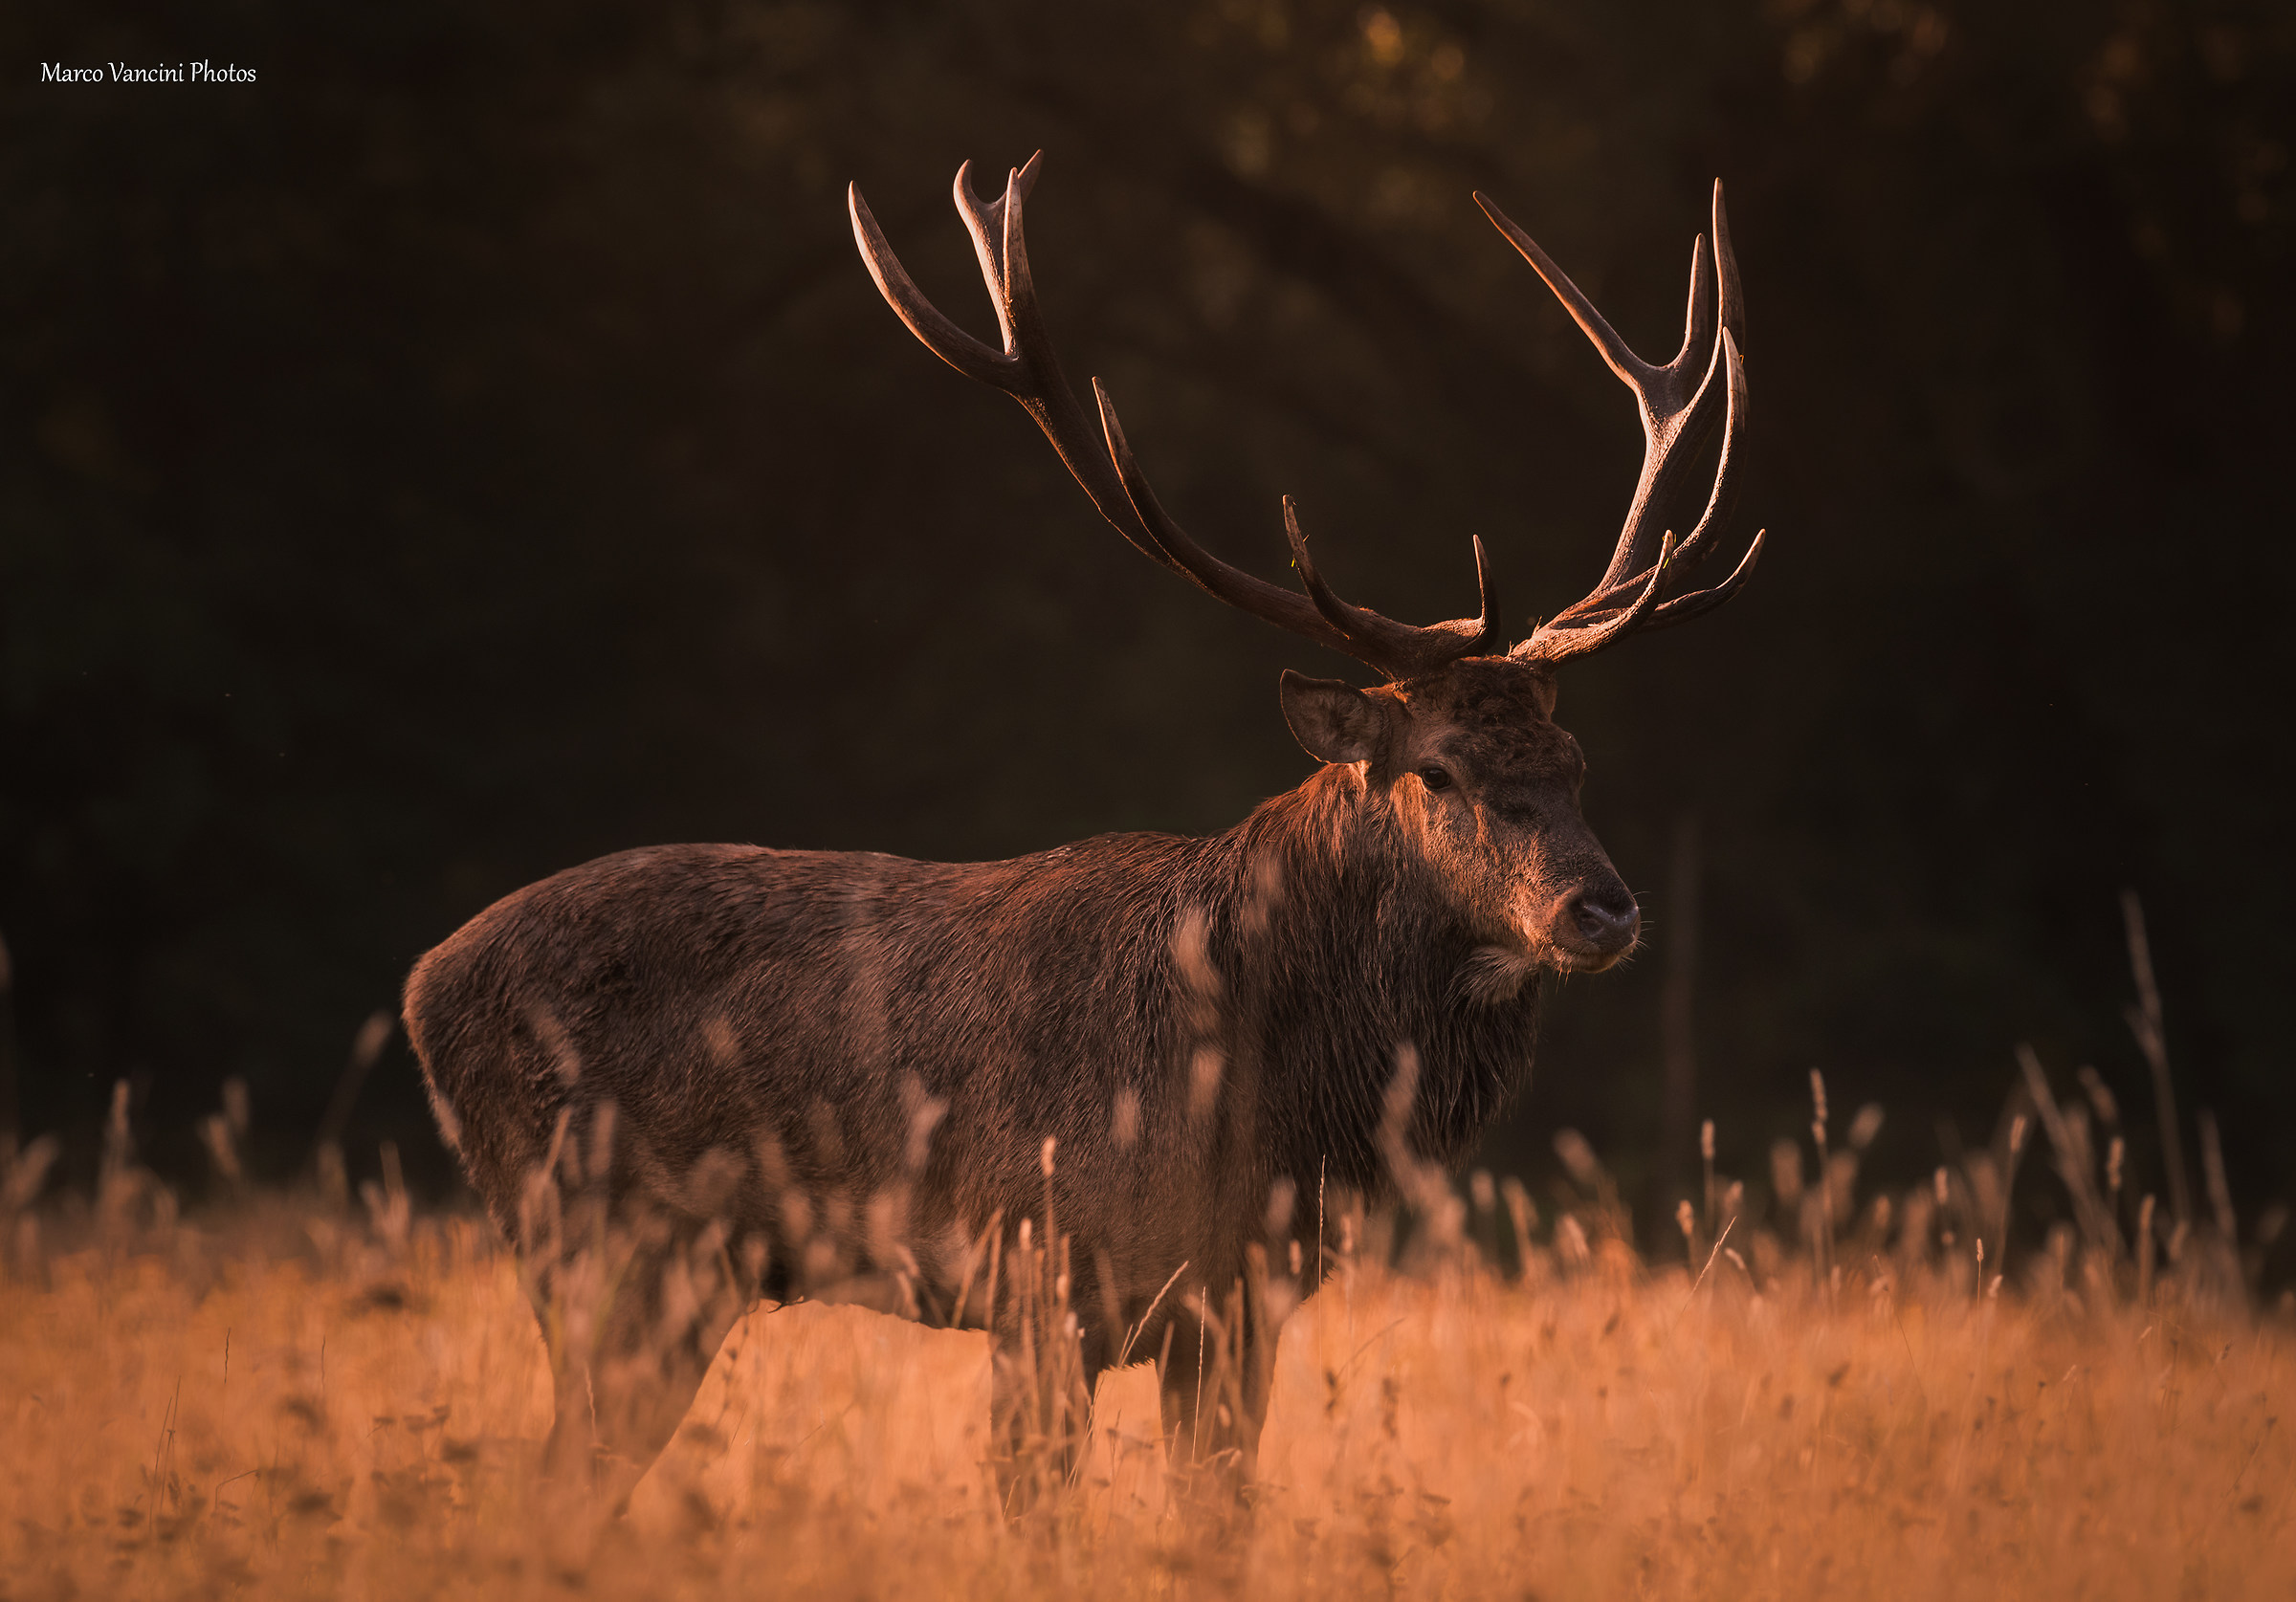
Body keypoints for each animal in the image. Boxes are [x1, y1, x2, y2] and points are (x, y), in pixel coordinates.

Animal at [401, 152, 1757, 1513]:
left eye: (1575, 765)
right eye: (1437, 770)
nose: (1600, 907)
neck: (1267, 1097)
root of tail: (422, 985)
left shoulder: (1240, 1302)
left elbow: (1218, 1516)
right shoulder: (1040, 1272)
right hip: (601, 1244)